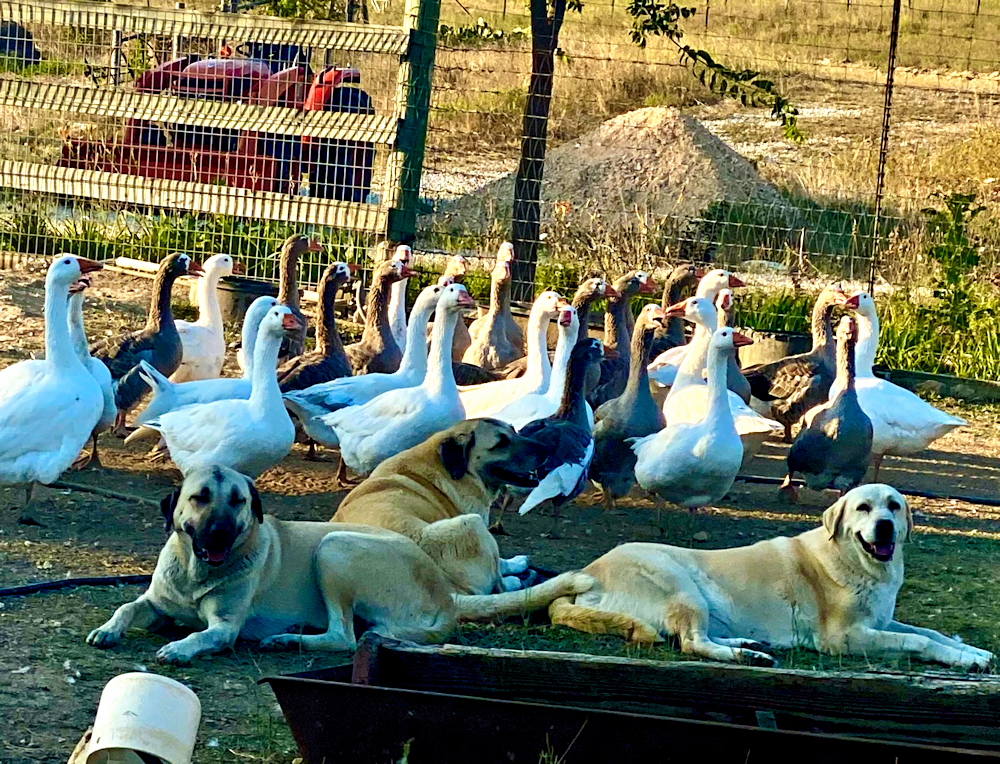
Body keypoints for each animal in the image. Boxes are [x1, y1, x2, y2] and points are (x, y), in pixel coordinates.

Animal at [88, 460, 592, 664]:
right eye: (200, 498)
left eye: (238, 502)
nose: (218, 533)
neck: (198, 571)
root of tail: (444, 595)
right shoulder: (157, 601)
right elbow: (128, 607)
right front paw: (109, 629)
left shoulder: (225, 626)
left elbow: (201, 634)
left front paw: (180, 647)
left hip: (334, 549)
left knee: (345, 638)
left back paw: (288, 640)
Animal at [552, 486, 996, 672]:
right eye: (863, 508)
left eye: (894, 506)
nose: (885, 526)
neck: (855, 562)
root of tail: (589, 573)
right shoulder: (844, 638)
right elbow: (918, 641)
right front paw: (964, 658)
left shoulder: (881, 621)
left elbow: (929, 632)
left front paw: (971, 652)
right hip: (680, 584)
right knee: (692, 643)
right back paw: (747, 657)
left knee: (698, 638)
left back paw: (750, 645)